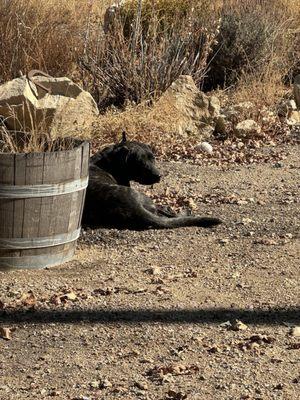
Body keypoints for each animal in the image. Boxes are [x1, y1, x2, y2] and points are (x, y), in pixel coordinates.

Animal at [82, 133, 223, 230]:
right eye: (140, 163)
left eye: (153, 158)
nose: (159, 176)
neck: (108, 161)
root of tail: (135, 209)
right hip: (147, 200)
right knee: (169, 213)